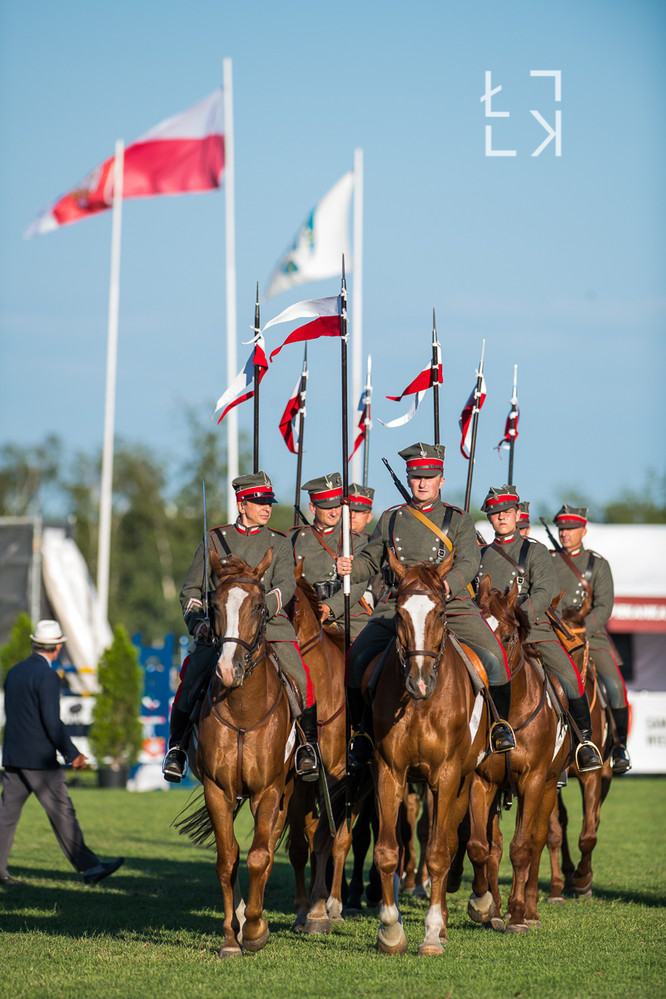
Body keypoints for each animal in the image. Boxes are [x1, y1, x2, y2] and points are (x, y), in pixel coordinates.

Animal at [184, 552, 294, 956]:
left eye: (260, 606)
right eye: (214, 606)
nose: (227, 670)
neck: (244, 709)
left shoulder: (268, 791)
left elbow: (259, 856)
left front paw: (256, 930)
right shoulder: (218, 790)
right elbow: (227, 859)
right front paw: (232, 937)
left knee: (269, 848)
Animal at [370, 552, 486, 956]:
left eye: (439, 612)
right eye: (399, 613)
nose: (419, 683)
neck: (421, 706)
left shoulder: (448, 776)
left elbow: (438, 852)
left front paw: (433, 933)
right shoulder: (389, 771)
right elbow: (387, 851)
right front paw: (391, 930)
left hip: (461, 783)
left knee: (448, 843)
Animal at [470, 576, 568, 932]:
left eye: (508, 636)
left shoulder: (534, 781)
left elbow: (523, 847)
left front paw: (516, 914)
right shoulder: (482, 782)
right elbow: (483, 847)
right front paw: (488, 908)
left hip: (550, 786)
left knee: (539, 840)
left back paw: (531, 909)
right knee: (497, 845)